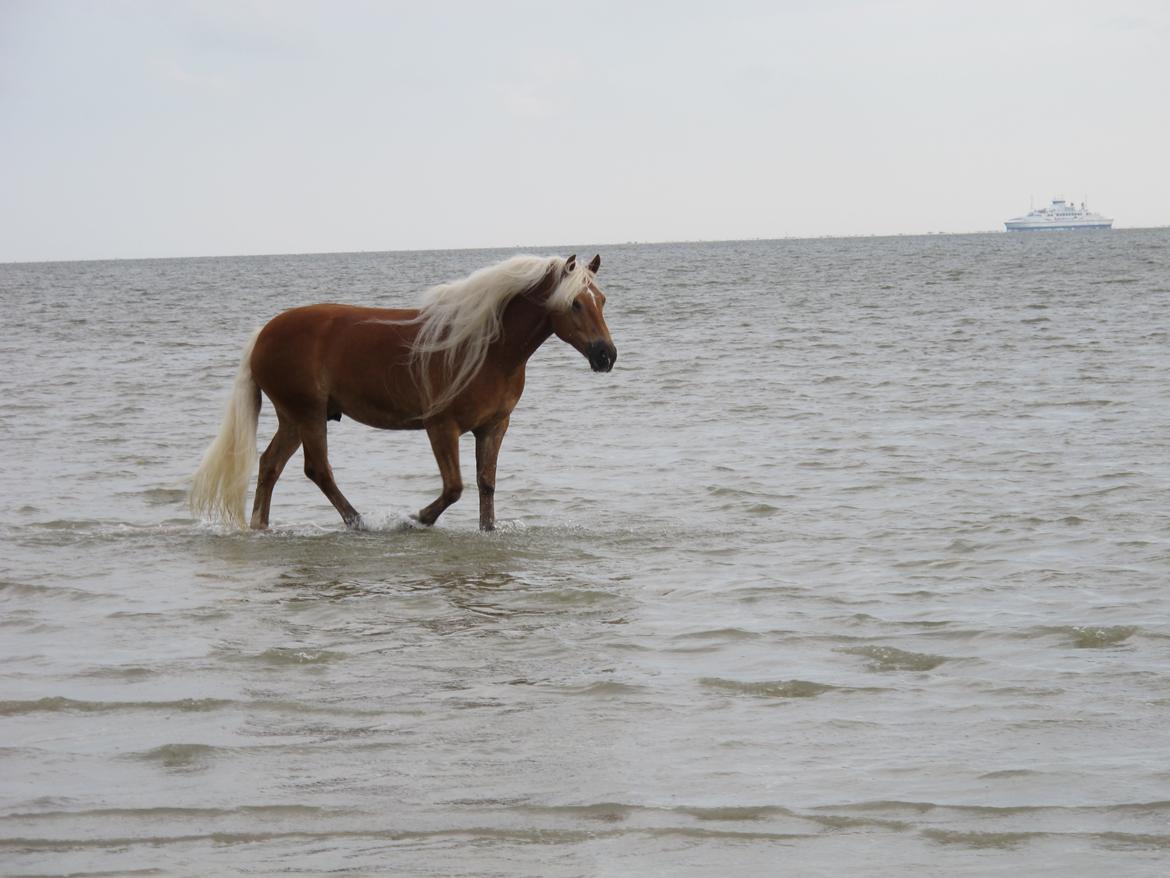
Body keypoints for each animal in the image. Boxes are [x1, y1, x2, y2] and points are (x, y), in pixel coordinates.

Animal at [187, 250, 617, 533]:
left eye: (601, 300)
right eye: (575, 304)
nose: (606, 355)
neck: (487, 348)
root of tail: (264, 333)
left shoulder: (494, 427)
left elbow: (486, 485)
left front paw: (487, 531)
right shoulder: (441, 427)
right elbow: (454, 488)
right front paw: (416, 519)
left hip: (294, 417)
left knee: (270, 466)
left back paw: (261, 526)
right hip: (307, 414)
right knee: (317, 469)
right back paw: (359, 522)